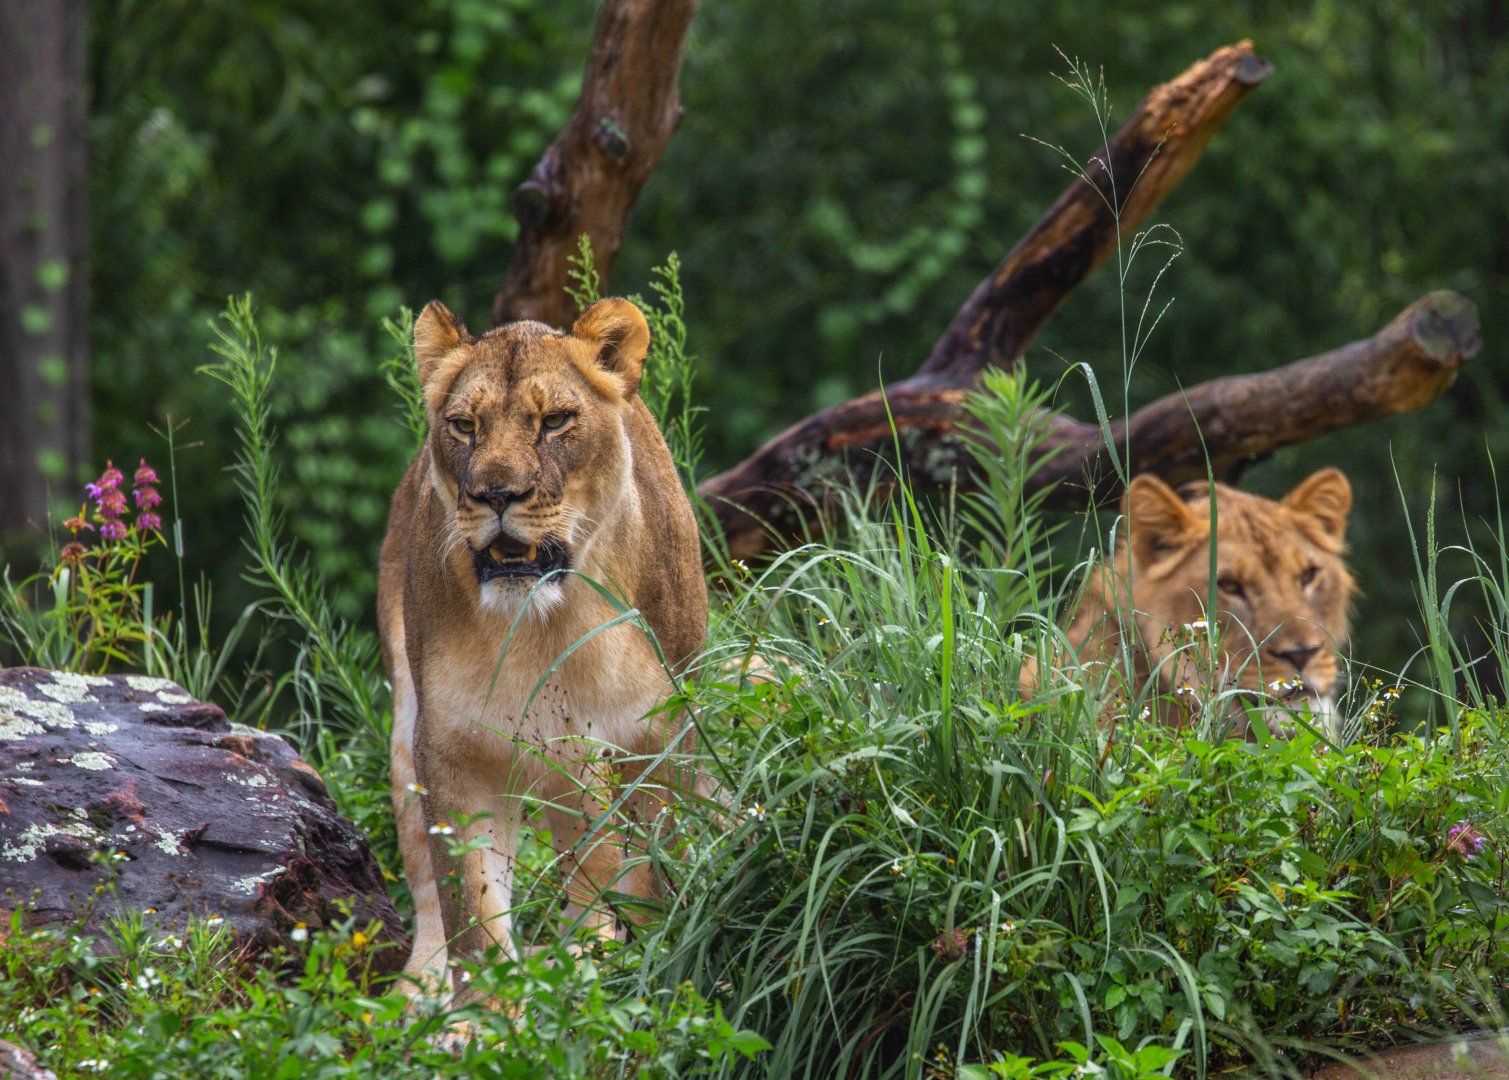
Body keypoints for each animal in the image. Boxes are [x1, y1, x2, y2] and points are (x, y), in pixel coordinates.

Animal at [377, 297, 707, 994]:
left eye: (555, 420)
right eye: (464, 426)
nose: (496, 495)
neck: (543, 626)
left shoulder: (655, 737)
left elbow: (642, 865)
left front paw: (627, 971)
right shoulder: (448, 746)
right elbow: (472, 913)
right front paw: (493, 1015)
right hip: (405, 732)